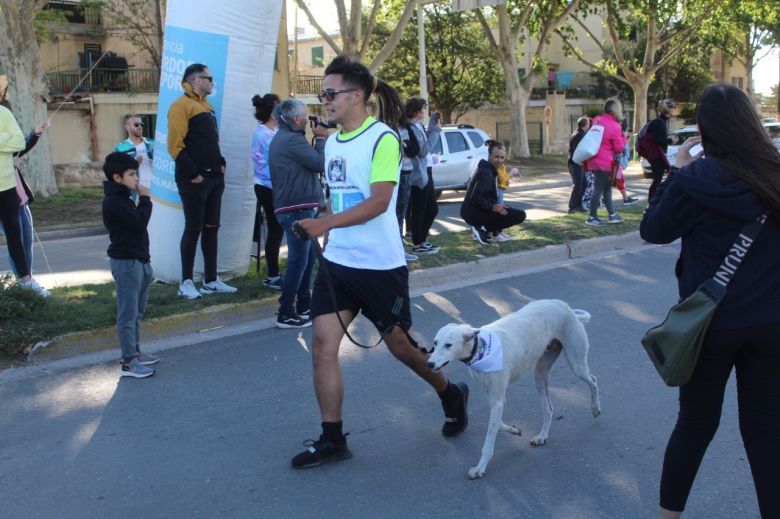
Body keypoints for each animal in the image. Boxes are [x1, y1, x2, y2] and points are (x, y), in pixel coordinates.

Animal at [430, 298, 600, 482]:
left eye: (448, 345)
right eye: (435, 343)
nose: (429, 364)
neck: (479, 348)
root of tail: (567, 308)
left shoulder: (497, 400)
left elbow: (490, 438)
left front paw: (480, 467)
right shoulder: (495, 398)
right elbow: (498, 424)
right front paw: (515, 430)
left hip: (576, 363)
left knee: (593, 381)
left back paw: (595, 408)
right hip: (540, 375)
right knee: (548, 409)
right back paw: (542, 436)